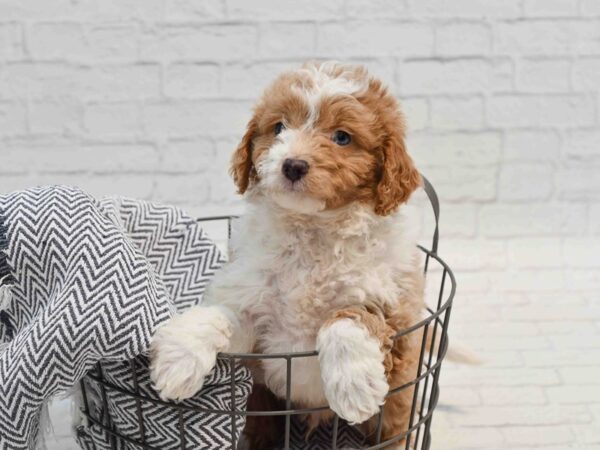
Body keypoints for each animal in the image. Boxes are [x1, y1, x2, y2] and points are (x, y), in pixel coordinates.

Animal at [152, 61, 428, 448]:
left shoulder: (397, 316)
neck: (311, 229)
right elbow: (221, 314)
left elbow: (349, 318)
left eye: (342, 137)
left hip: (395, 410)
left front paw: (354, 387)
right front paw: (178, 358)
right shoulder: (256, 322)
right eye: (279, 127)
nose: (293, 165)